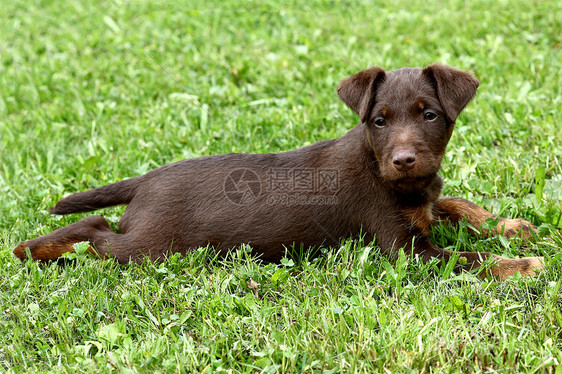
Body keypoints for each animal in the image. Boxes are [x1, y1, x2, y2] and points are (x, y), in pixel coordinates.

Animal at [15, 65, 544, 280]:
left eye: (428, 114)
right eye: (379, 121)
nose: (404, 160)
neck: (385, 171)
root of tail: (146, 179)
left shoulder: (425, 201)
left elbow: (453, 202)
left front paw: (509, 226)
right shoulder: (405, 250)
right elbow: (466, 258)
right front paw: (520, 265)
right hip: (151, 246)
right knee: (95, 232)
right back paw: (34, 249)